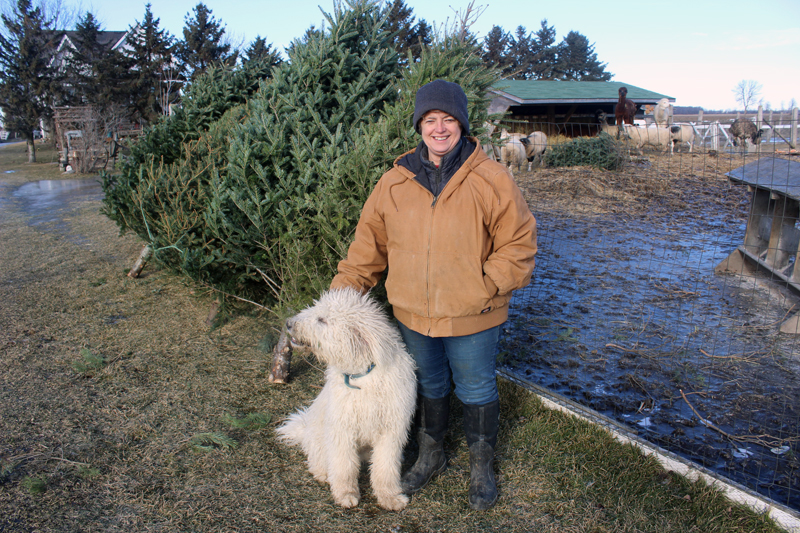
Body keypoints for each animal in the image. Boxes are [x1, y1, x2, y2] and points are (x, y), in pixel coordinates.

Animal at [276, 288, 418, 510]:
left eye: (322, 319)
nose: (289, 323)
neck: (362, 375)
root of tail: (304, 431)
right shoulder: (342, 429)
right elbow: (344, 465)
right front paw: (346, 494)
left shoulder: (391, 431)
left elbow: (385, 467)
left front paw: (389, 497)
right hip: (319, 439)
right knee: (318, 461)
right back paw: (323, 474)